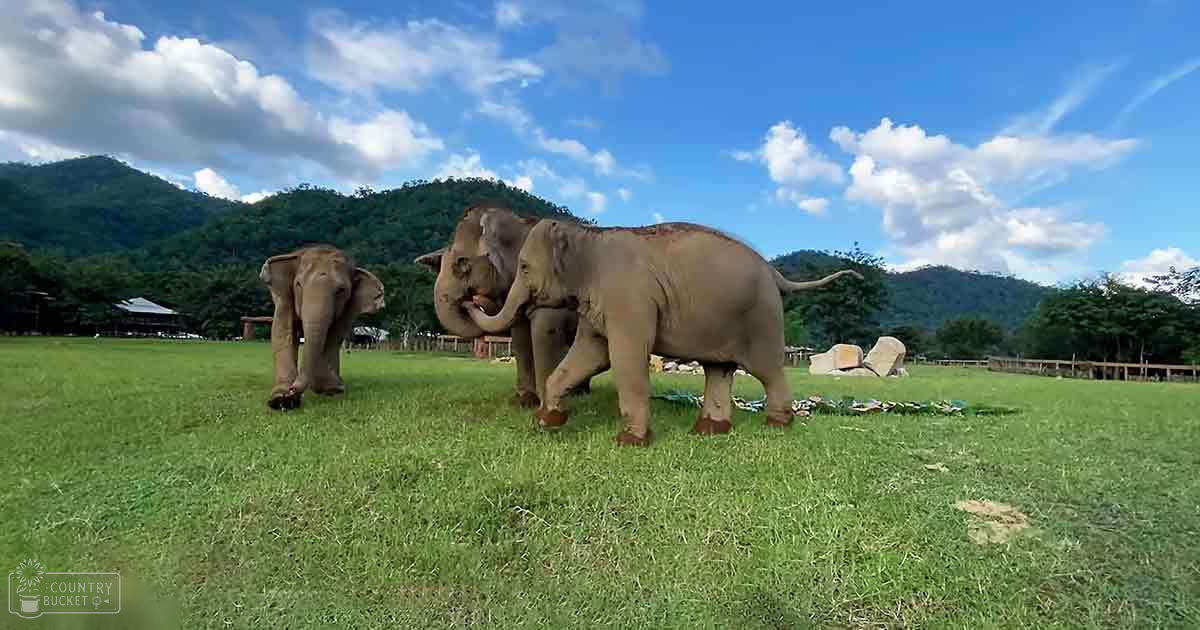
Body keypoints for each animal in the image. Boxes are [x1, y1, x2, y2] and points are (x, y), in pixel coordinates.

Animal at [260, 245, 385, 410]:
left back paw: (336, 384)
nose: (292, 390)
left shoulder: (349, 307)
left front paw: (328, 388)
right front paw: (280, 399)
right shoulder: (284, 298)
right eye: (298, 285)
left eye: (341, 290)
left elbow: (334, 335)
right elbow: (282, 330)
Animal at [415, 204, 588, 407]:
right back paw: (580, 393)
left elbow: (545, 329)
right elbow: (521, 339)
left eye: (462, 263)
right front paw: (524, 400)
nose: (472, 300)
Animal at [466, 220, 861, 446]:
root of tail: (774, 272)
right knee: (719, 369)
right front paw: (548, 422)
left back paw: (777, 426)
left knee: (768, 370)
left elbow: (625, 358)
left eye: (523, 267)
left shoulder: (629, 298)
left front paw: (629, 441)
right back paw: (709, 431)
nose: (472, 296)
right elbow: (589, 356)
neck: (588, 237)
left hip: (762, 317)